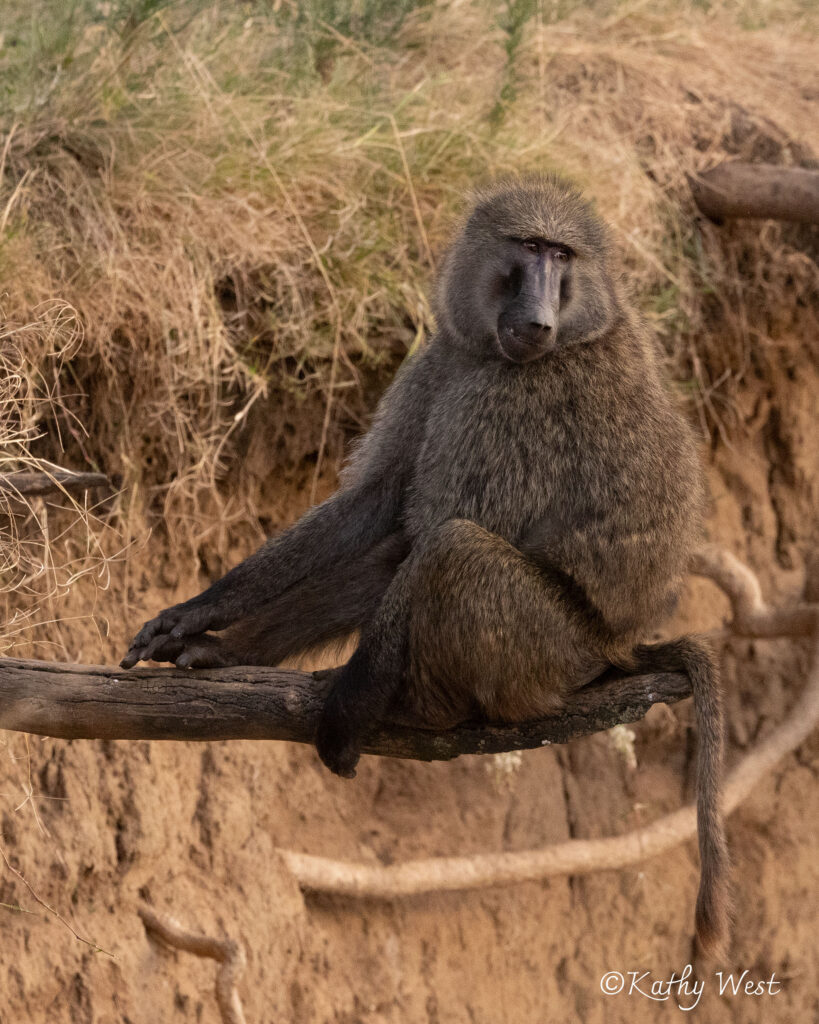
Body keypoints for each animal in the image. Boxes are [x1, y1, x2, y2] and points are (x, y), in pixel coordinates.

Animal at [121, 176, 729, 958]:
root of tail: (619, 648)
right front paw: (207, 626)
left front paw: (345, 711)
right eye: (528, 248)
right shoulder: (445, 359)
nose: (537, 318)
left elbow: (425, 530)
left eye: (562, 256)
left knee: (452, 549)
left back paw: (417, 707)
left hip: (551, 651)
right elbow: (378, 508)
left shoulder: (511, 400)